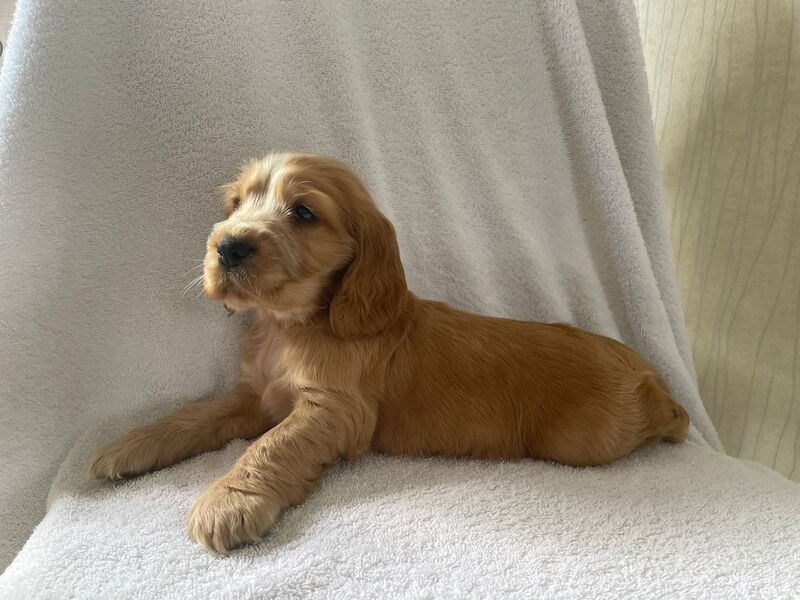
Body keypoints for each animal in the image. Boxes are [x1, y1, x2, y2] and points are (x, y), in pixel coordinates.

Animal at [87, 154, 688, 552]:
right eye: (237, 204)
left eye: (303, 213)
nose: (227, 246)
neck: (291, 327)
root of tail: (646, 370)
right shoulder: (253, 395)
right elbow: (193, 415)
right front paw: (130, 446)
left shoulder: (336, 409)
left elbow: (270, 447)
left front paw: (227, 501)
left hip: (586, 441)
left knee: (657, 423)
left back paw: (677, 418)